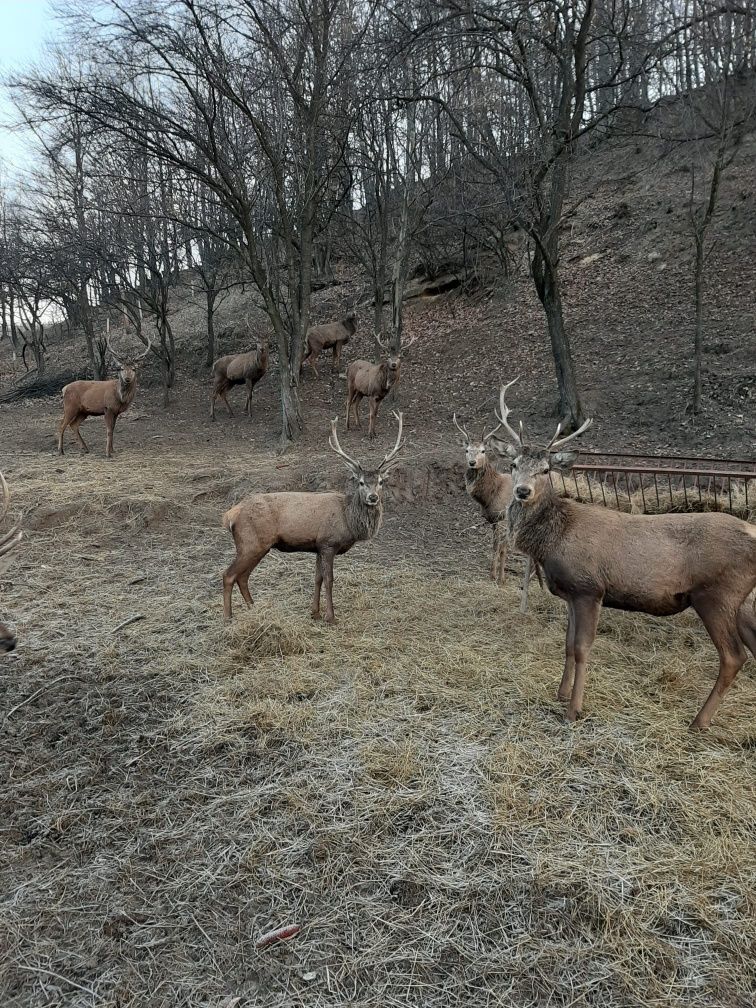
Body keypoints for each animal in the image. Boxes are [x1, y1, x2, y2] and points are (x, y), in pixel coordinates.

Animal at [57, 328, 152, 459]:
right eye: (121, 368)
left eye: (134, 369)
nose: (127, 379)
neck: (120, 397)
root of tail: (64, 388)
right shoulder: (108, 408)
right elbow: (108, 430)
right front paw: (107, 453)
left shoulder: (116, 412)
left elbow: (113, 429)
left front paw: (112, 450)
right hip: (70, 406)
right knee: (62, 425)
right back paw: (60, 451)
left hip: (83, 411)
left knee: (73, 425)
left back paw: (85, 448)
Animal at [221, 409, 405, 620]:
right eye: (360, 482)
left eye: (381, 481)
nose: (373, 497)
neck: (348, 520)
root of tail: (230, 515)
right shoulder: (329, 542)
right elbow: (329, 579)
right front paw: (330, 616)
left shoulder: (318, 546)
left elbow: (317, 578)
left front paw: (315, 612)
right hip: (250, 543)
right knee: (229, 575)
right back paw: (228, 617)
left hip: (257, 546)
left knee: (243, 577)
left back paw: (253, 608)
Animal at [487, 379, 756, 733]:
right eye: (514, 465)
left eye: (546, 469)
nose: (522, 491)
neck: (553, 540)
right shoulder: (571, 593)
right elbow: (567, 644)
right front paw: (560, 693)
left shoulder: (589, 588)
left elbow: (582, 649)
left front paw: (573, 710)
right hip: (742, 602)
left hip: (716, 594)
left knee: (734, 656)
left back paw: (698, 721)